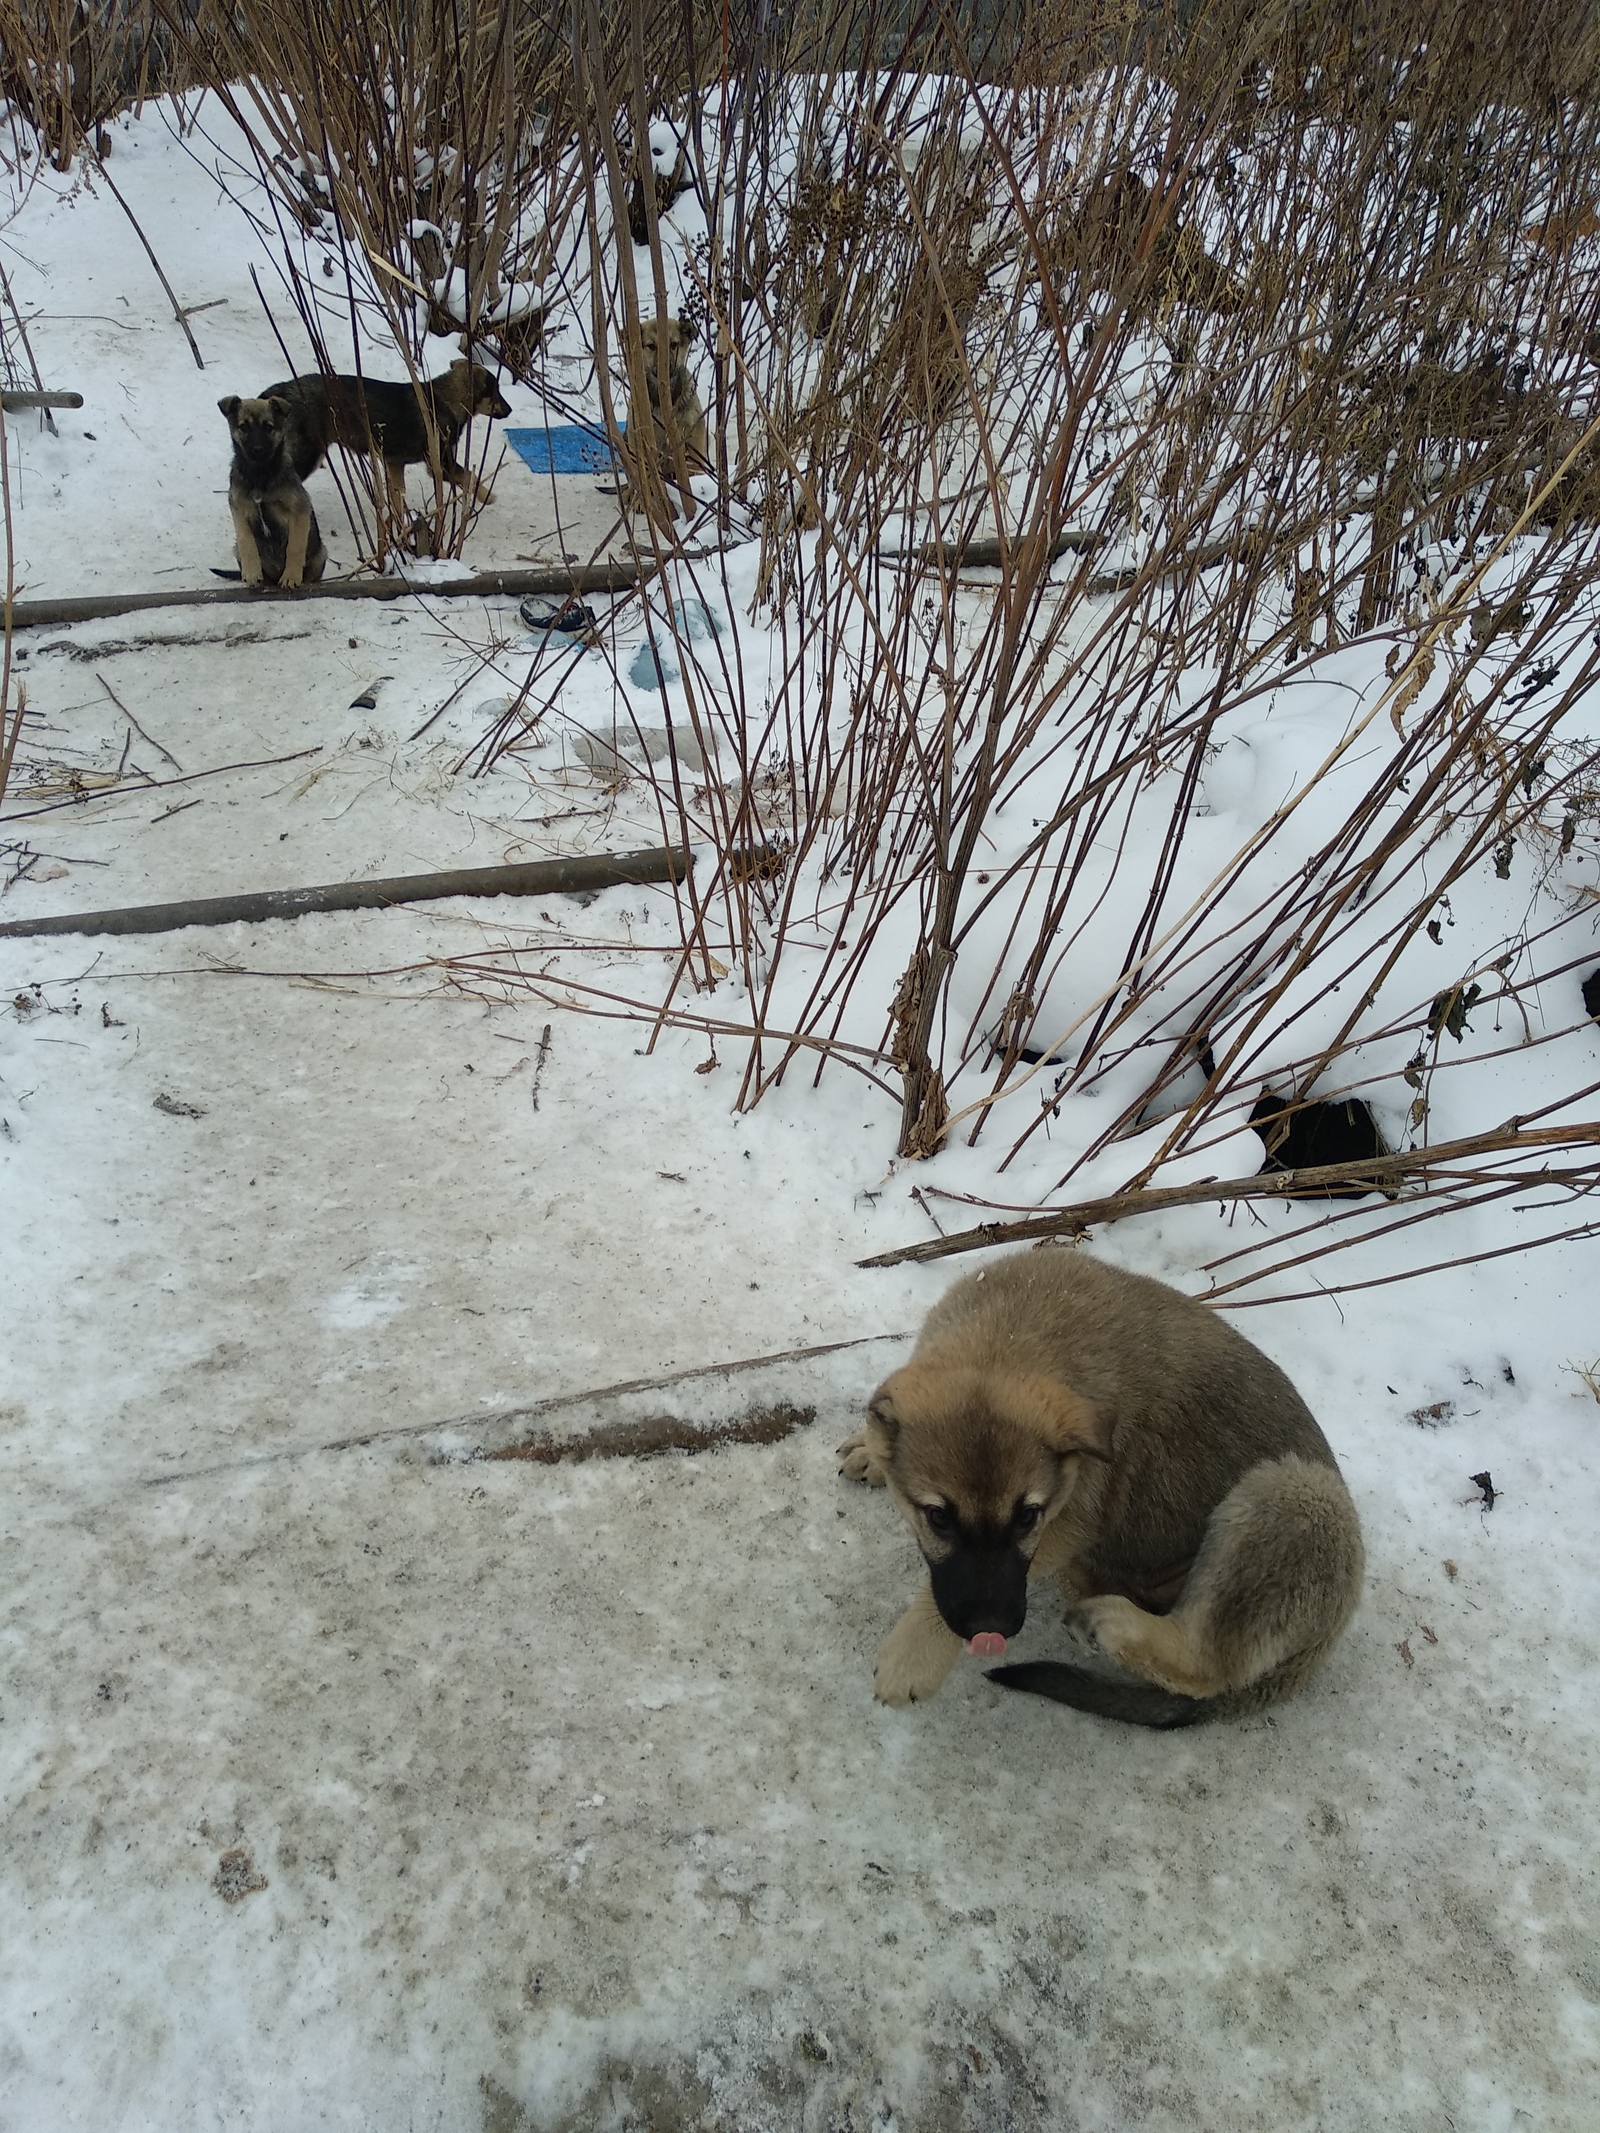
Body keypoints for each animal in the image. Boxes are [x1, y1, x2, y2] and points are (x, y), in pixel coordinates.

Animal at [217, 394, 326, 588]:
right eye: (244, 426)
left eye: (268, 427)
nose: (258, 450)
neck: (260, 474)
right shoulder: (239, 509)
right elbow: (246, 541)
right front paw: (252, 573)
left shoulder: (299, 510)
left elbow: (295, 546)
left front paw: (291, 576)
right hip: (236, 550)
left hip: (320, 556)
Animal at [261, 360, 514, 518]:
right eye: (496, 392)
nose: (510, 410)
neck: (445, 399)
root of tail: (280, 392)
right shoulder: (440, 464)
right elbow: (470, 476)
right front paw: (487, 496)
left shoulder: (394, 463)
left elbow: (397, 499)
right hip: (307, 453)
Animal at [840, 1245, 1365, 1731]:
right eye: (938, 1518)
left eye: (1028, 1517)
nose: (992, 1631)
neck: (1006, 1334)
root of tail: (1313, 1653)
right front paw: (871, 1447)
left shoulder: (1069, 1520)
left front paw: (914, 1656)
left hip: (1294, 1494)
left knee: (1206, 1666)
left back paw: (1110, 1622)